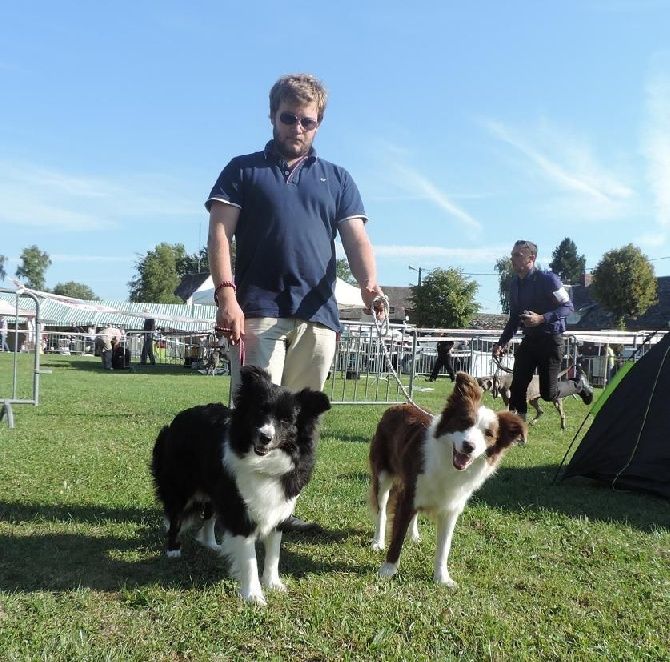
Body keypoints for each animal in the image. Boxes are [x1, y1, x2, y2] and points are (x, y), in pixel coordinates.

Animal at [151, 366, 332, 604]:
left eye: (287, 420)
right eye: (260, 411)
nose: (265, 437)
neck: (263, 462)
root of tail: (180, 417)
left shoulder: (277, 508)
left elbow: (274, 553)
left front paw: (274, 584)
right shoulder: (240, 511)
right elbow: (249, 559)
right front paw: (253, 596)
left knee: (209, 516)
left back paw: (211, 543)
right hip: (181, 485)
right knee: (175, 516)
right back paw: (173, 550)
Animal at [372, 376, 524, 588]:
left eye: (488, 434)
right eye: (465, 422)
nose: (469, 446)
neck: (448, 465)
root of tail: (397, 405)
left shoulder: (451, 508)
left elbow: (444, 547)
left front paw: (442, 578)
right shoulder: (409, 495)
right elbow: (397, 537)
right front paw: (388, 570)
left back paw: (414, 535)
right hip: (383, 473)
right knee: (382, 508)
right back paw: (378, 541)